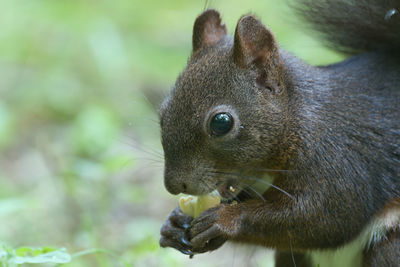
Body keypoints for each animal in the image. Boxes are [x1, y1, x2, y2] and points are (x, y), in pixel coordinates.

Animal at [159, 0, 400, 266]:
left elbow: (323, 217)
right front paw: (175, 223)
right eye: (162, 112)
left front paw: (226, 219)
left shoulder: (338, 161)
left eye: (221, 123)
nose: (174, 185)